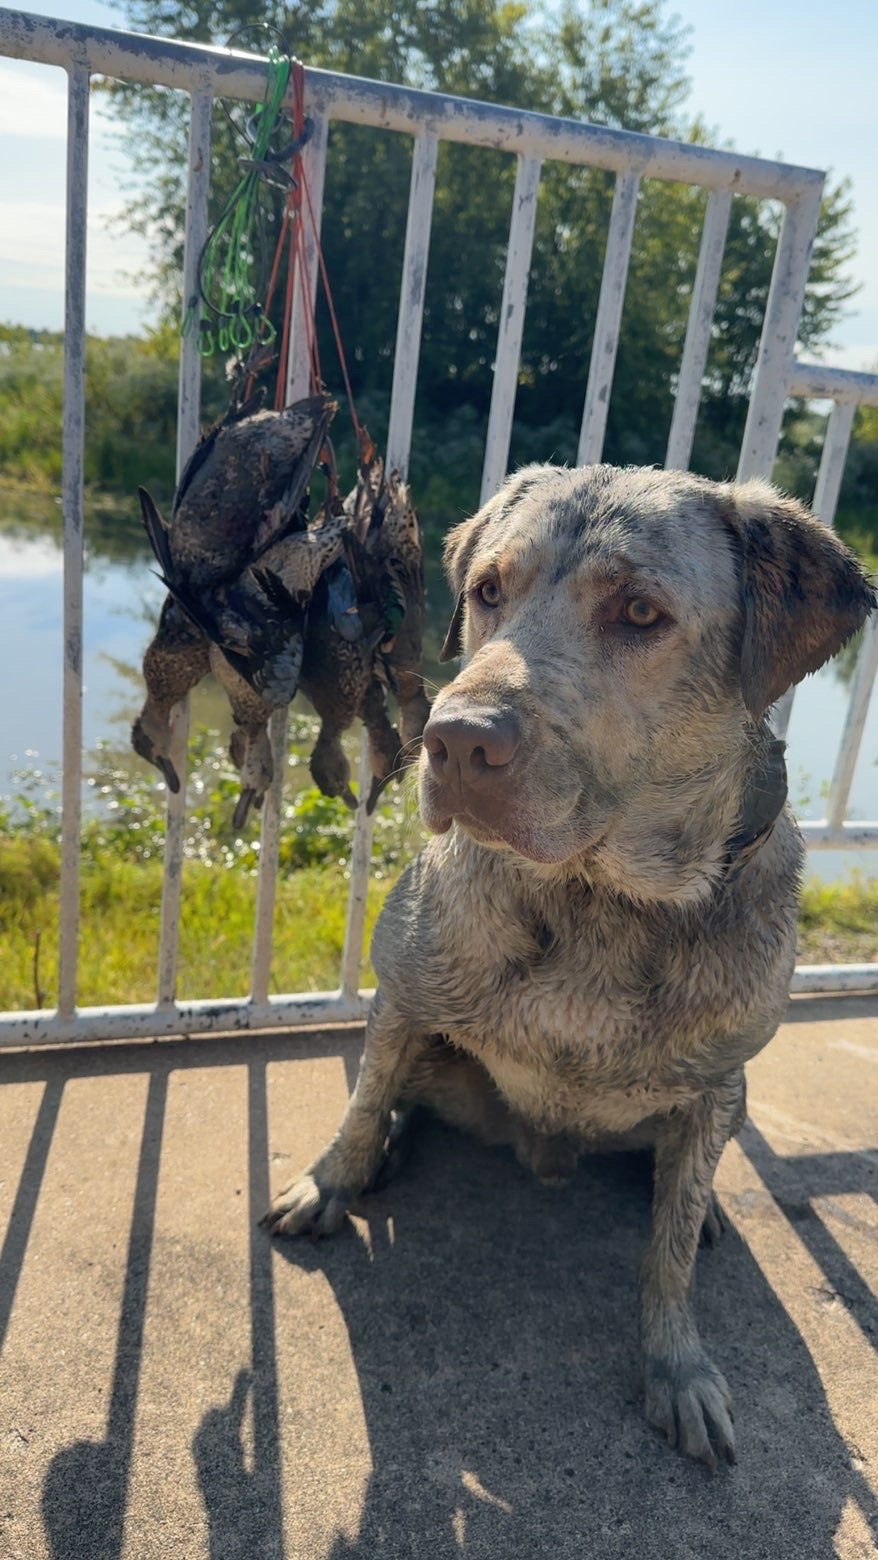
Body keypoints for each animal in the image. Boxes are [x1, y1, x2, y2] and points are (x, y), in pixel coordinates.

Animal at [264, 464, 875, 1469]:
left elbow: (666, 1256)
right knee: (395, 1094)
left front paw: (676, 1365)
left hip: (735, 1097)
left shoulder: (714, 1085)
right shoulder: (403, 996)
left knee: (682, 1178)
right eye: (486, 591)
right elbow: (358, 1107)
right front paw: (331, 1182)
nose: (454, 739)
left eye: (639, 612)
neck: (600, 899)